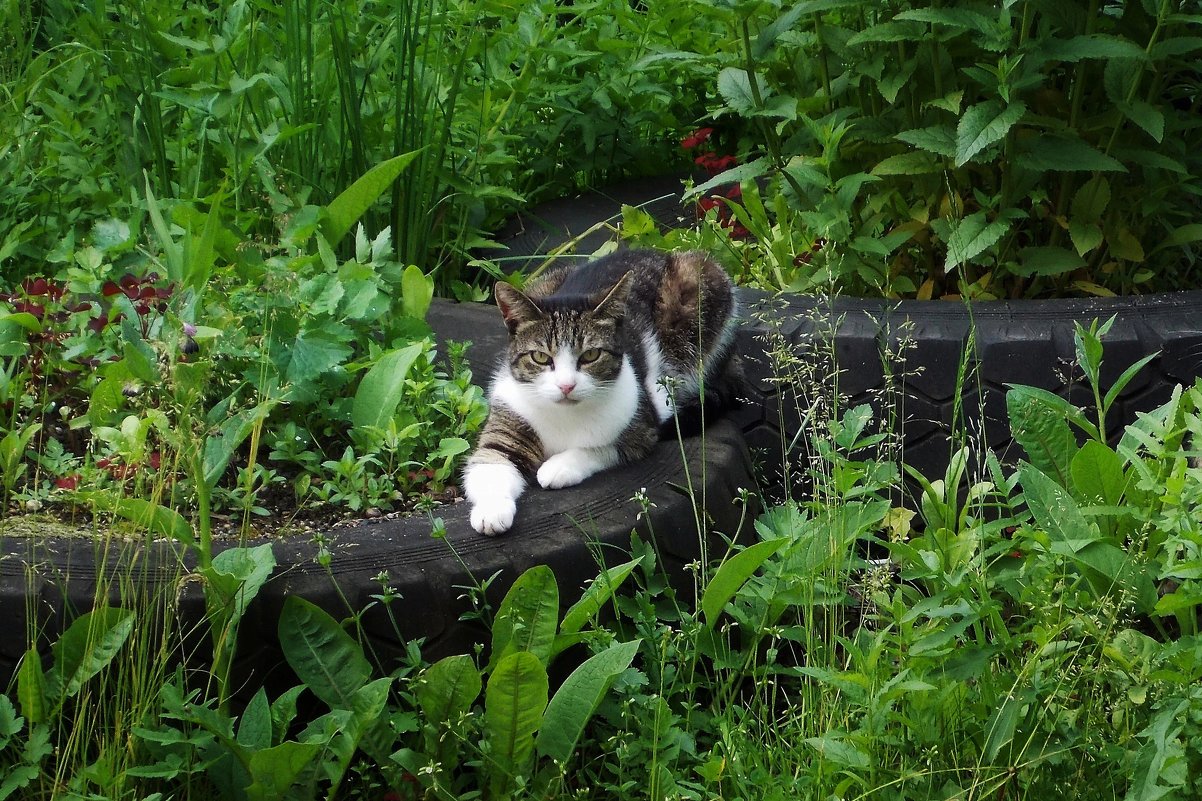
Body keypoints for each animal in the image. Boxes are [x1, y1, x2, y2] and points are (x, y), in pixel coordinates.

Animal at [461, 247, 735, 536]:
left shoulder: (642, 426)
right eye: (540, 357)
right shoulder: (506, 424)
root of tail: (658, 252)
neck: (563, 417)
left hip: (701, 286)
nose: (566, 385)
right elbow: (489, 464)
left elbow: (600, 447)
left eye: (591, 355)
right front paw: (491, 512)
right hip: (543, 280)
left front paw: (559, 467)